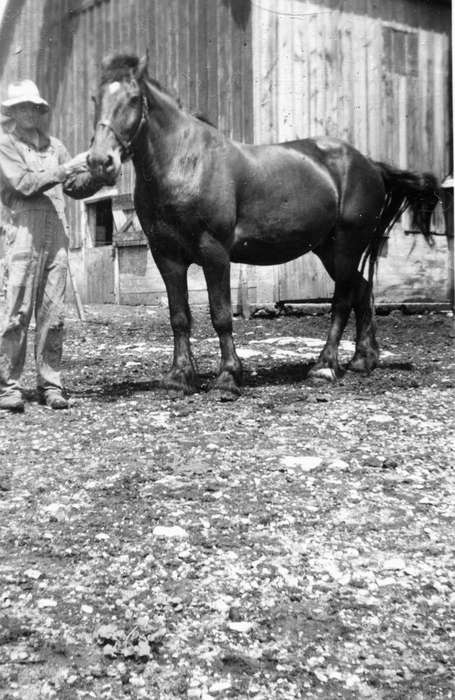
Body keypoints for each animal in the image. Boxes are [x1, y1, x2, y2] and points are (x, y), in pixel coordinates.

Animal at [87, 52, 440, 396]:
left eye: (134, 98)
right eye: (95, 98)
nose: (100, 161)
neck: (185, 162)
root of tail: (369, 165)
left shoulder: (214, 253)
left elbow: (221, 315)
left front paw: (228, 378)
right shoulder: (167, 257)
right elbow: (179, 317)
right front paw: (179, 378)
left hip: (346, 246)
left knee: (342, 300)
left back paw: (325, 367)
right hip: (328, 250)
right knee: (362, 290)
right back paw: (362, 360)